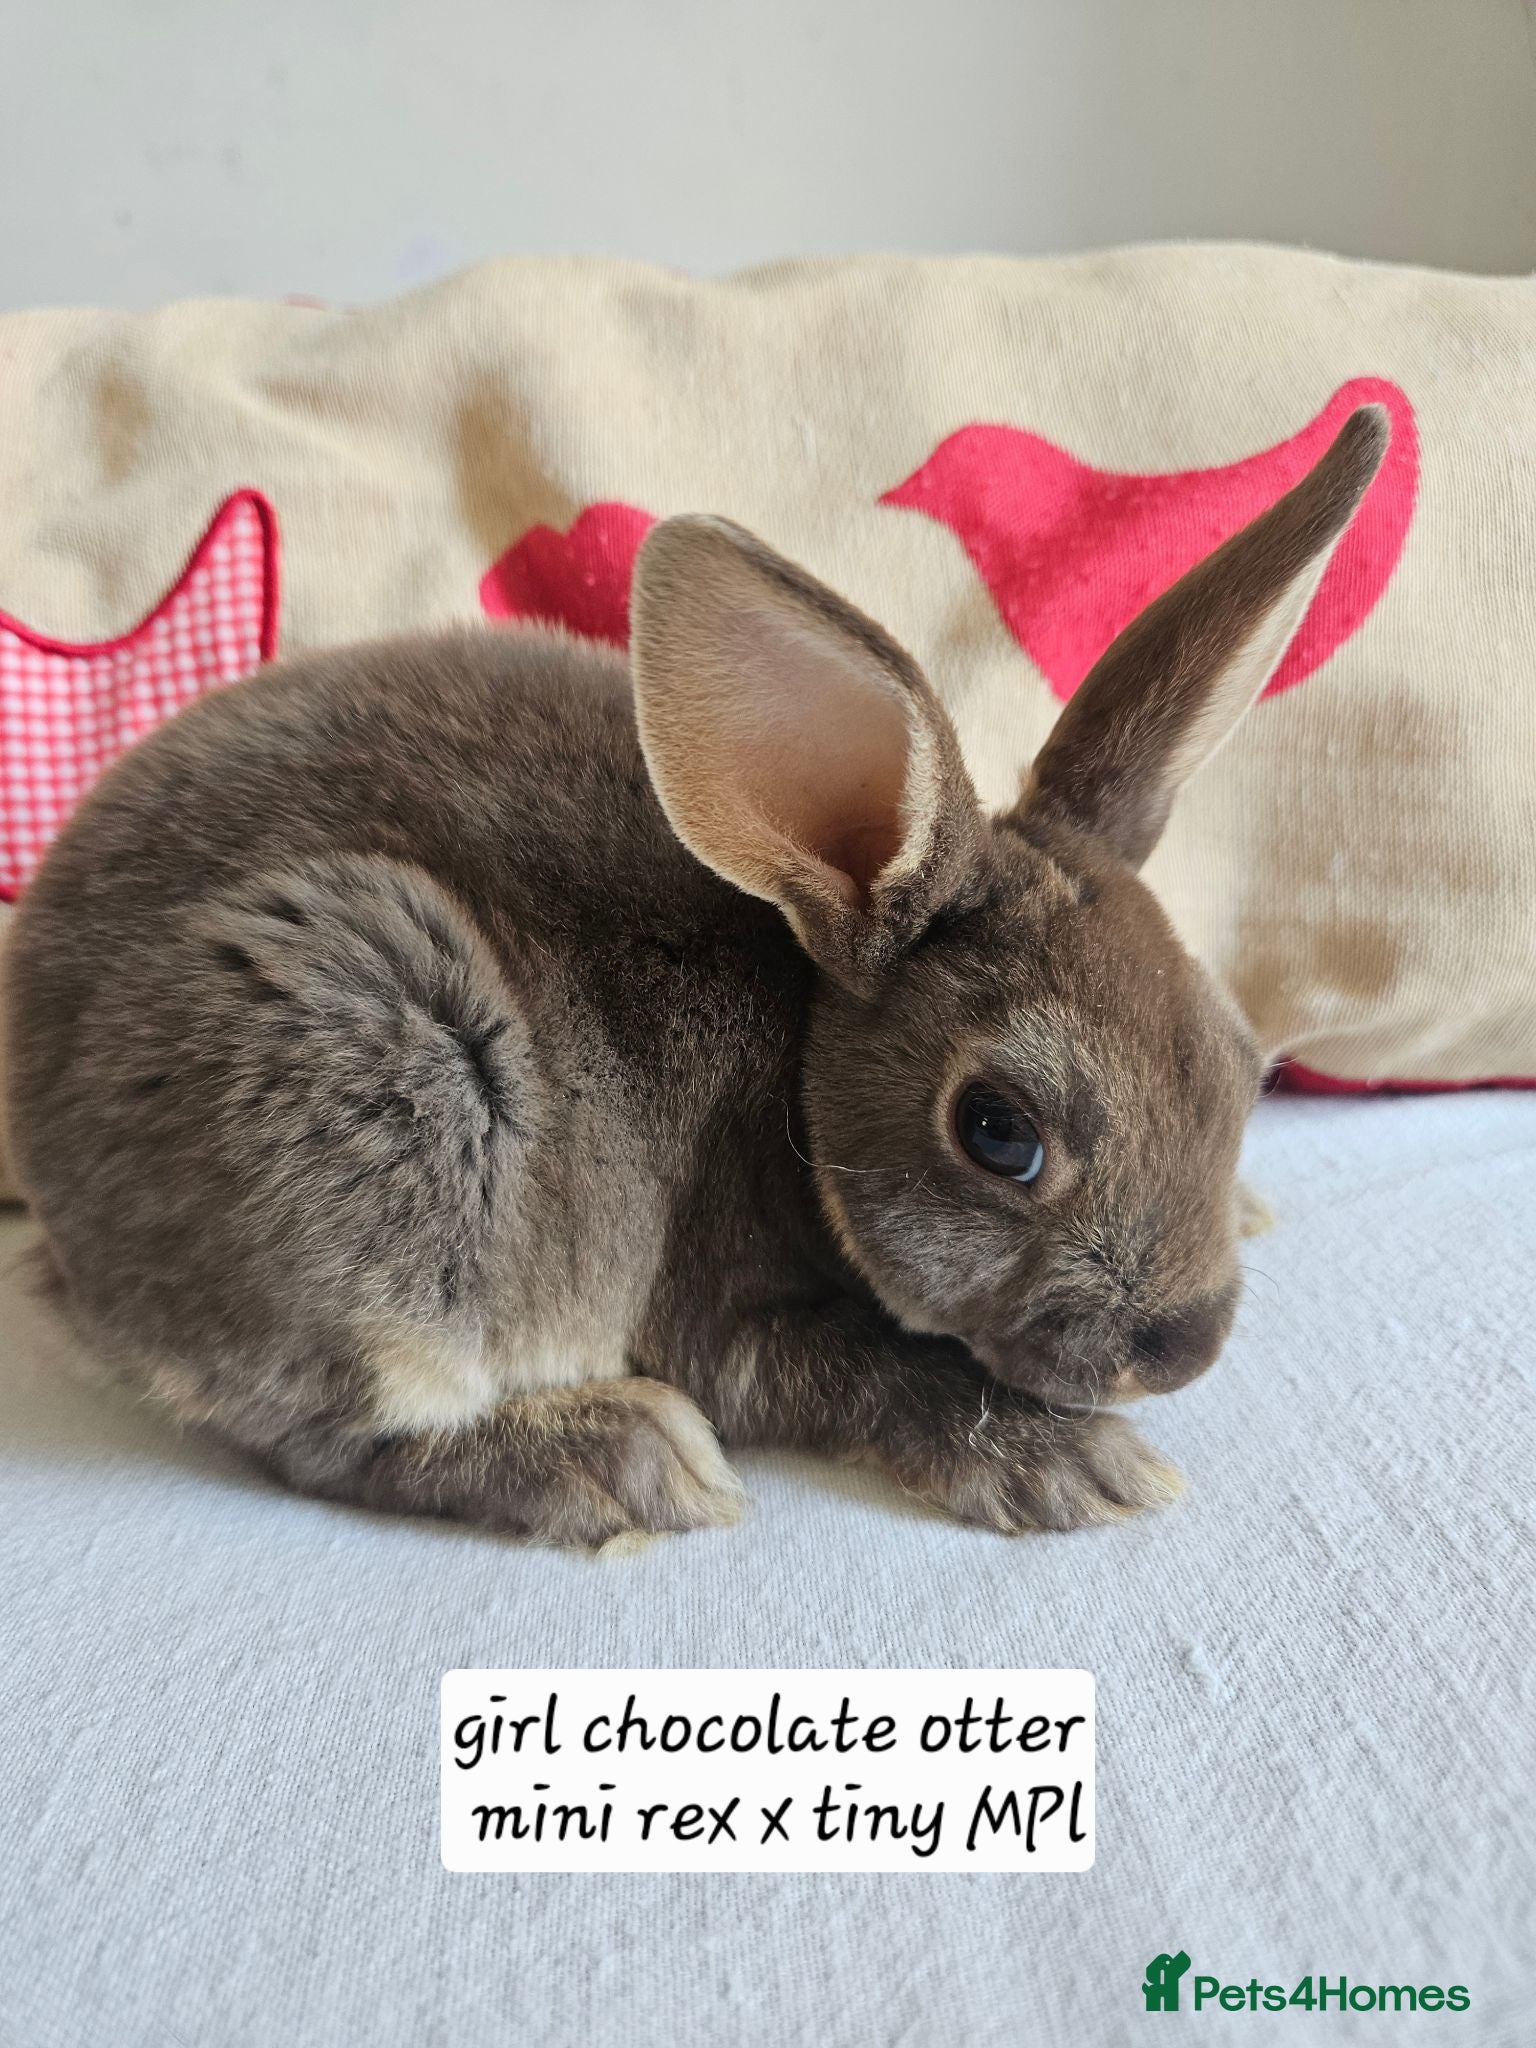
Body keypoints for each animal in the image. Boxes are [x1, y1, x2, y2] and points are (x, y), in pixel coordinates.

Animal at [1, 407, 1386, 1546]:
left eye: (1239, 1068)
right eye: (999, 1132)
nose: (1185, 1346)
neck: (804, 1064)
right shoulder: (723, 1314)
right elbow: (861, 1371)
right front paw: (1078, 1464)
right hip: (373, 1080)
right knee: (328, 1433)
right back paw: (617, 1457)